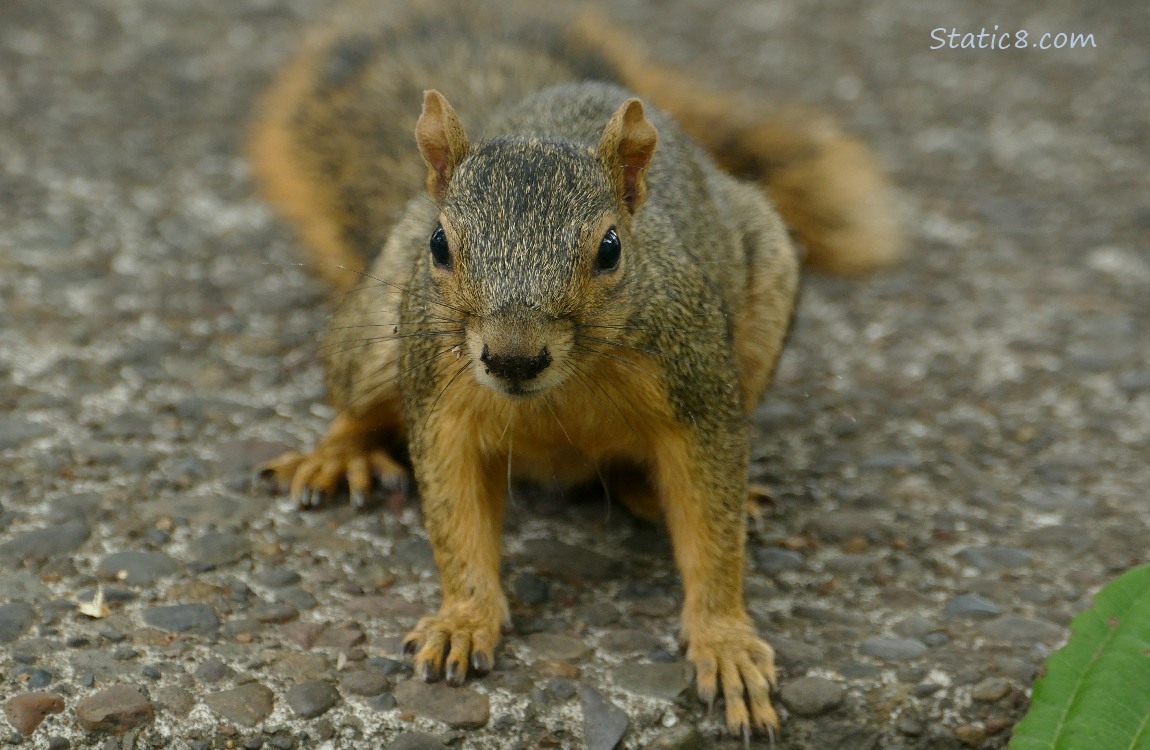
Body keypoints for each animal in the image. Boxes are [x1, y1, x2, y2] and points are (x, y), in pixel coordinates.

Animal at [249, 4, 900, 739]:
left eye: (610, 249)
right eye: (439, 245)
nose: (513, 356)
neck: (557, 392)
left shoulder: (699, 390)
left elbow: (712, 532)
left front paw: (725, 642)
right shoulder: (441, 405)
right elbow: (454, 520)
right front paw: (462, 619)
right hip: (378, 343)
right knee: (358, 401)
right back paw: (340, 455)